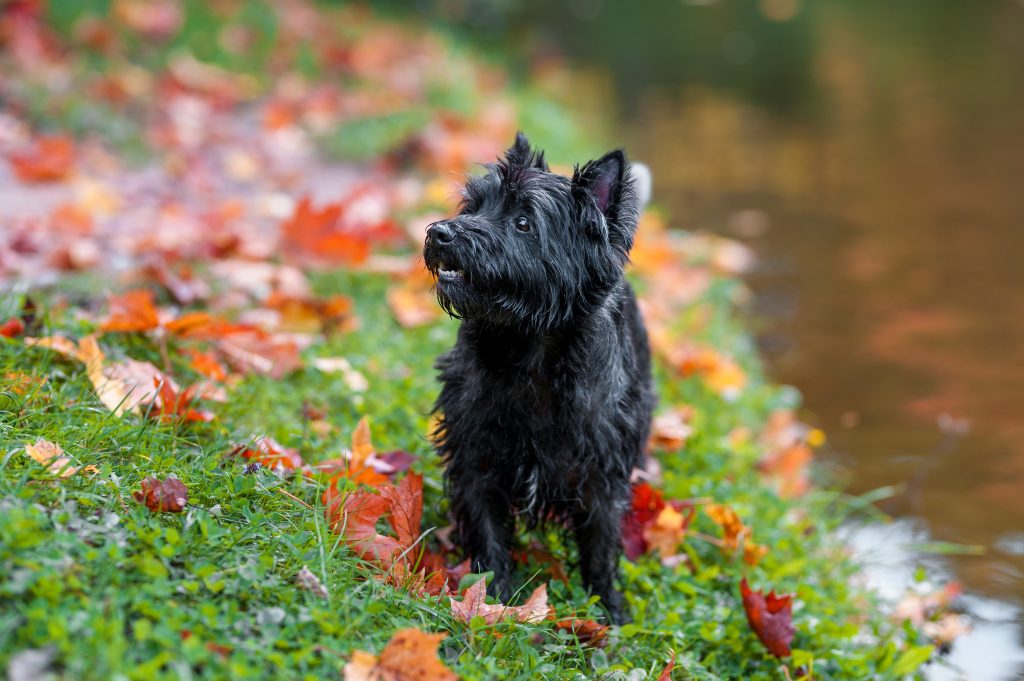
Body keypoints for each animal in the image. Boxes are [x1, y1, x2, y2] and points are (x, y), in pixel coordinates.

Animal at [423, 131, 655, 622]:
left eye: (524, 222)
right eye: (473, 206)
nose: (440, 232)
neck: (529, 352)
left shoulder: (601, 476)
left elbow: (601, 545)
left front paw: (609, 609)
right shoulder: (476, 457)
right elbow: (487, 533)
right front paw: (491, 598)